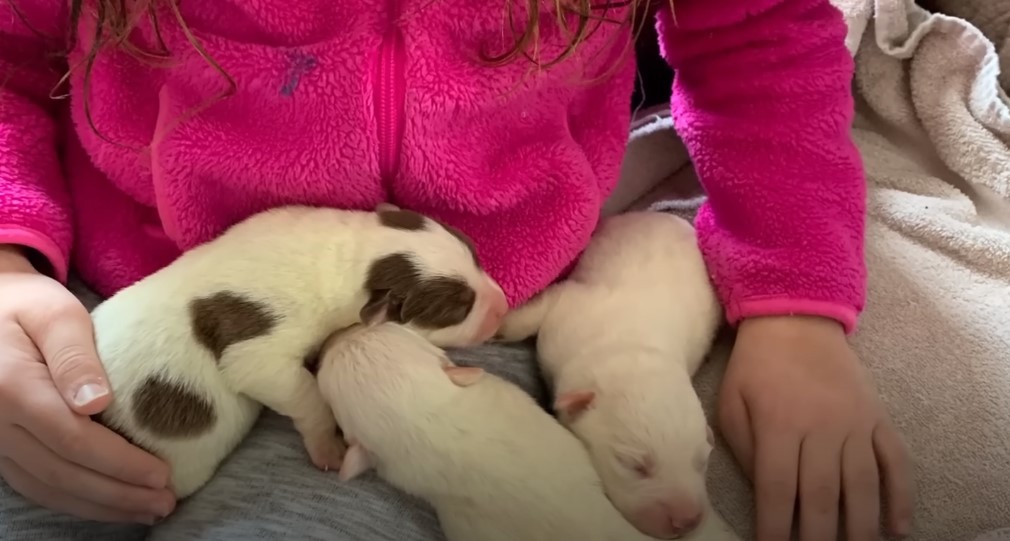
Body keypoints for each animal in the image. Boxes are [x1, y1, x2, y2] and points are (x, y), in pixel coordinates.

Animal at [90, 202, 509, 498]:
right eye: (458, 308)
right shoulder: (261, 345)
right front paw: (328, 447)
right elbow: (296, 388)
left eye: (476, 256)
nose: (504, 308)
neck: (350, 256)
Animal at [494, 210, 727, 541]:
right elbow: (545, 303)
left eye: (701, 461)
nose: (688, 522)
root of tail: (662, 215)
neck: (628, 350)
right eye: (634, 465)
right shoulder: (570, 310)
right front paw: (502, 323)